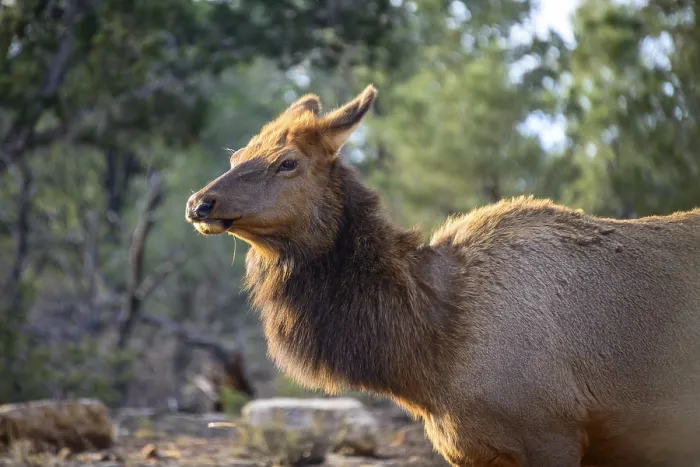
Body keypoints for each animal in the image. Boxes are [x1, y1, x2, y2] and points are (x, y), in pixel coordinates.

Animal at [185, 85, 700, 467]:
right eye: (236, 156)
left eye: (287, 161)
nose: (199, 203)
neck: (432, 355)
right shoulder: (471, 450)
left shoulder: (554, 430)